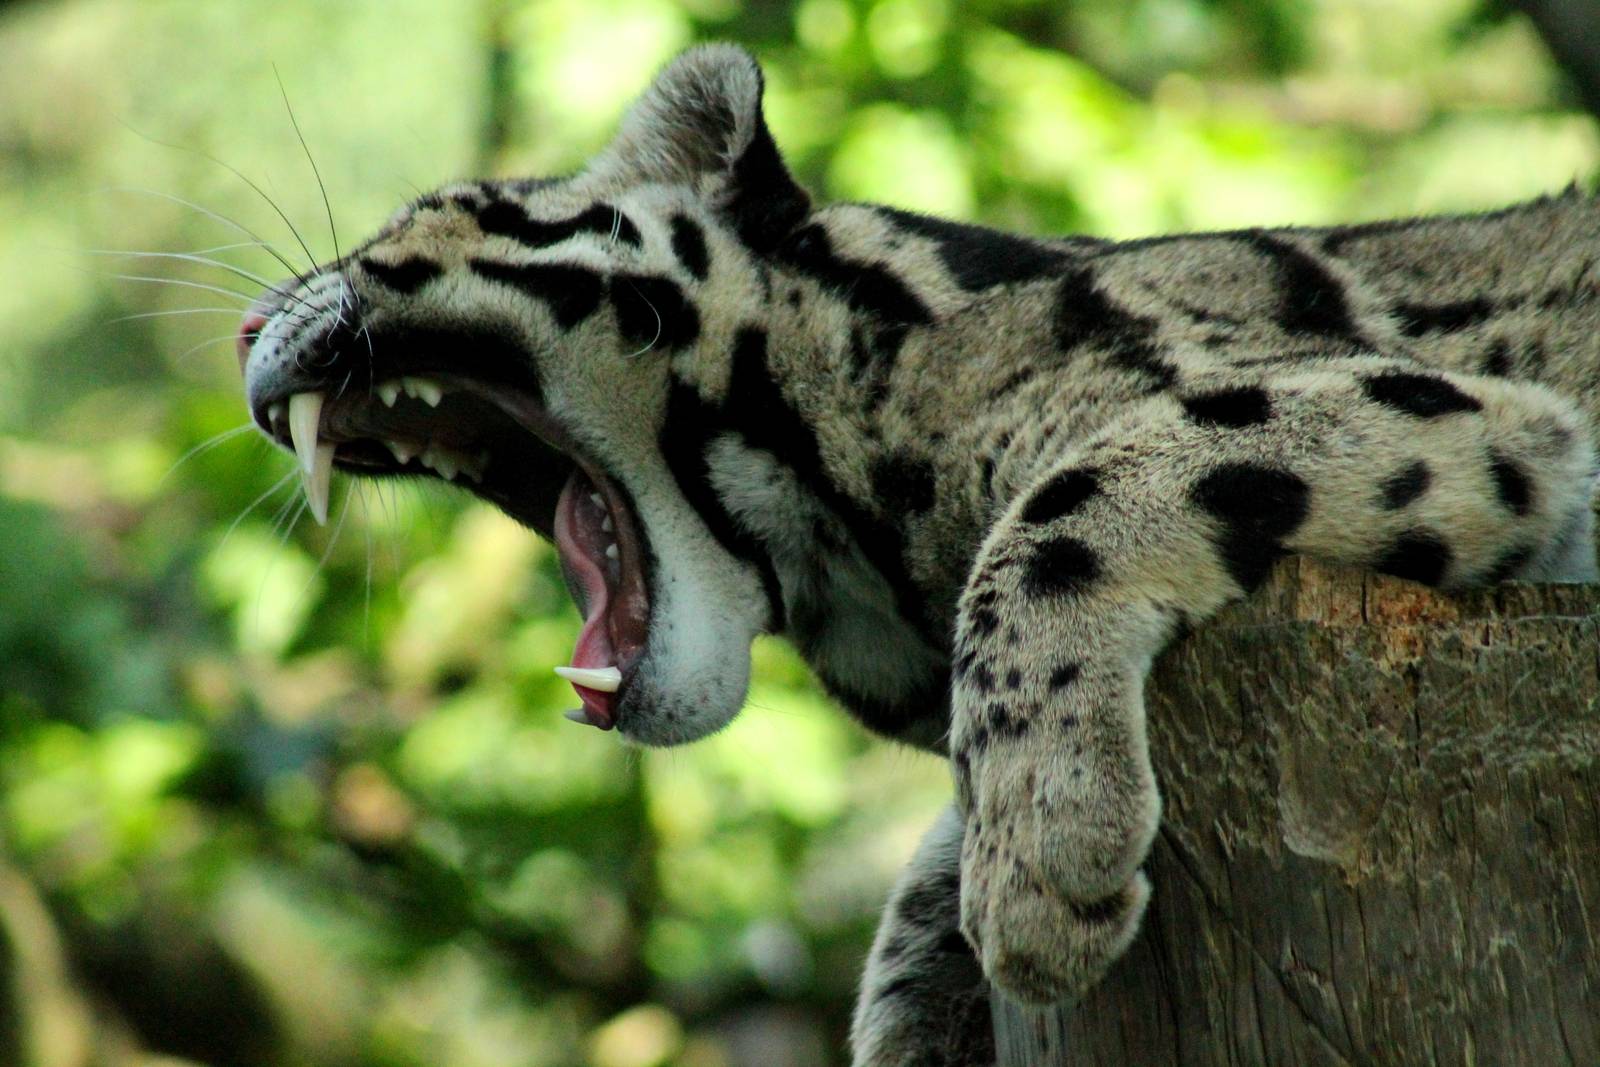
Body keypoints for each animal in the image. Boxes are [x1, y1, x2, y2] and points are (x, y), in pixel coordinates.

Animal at [234, 44, 1600, 1066]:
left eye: (420, 221)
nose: (245, 327)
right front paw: (950, 940)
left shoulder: (1461, 414)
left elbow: (1061, 511)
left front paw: (1043, 845)